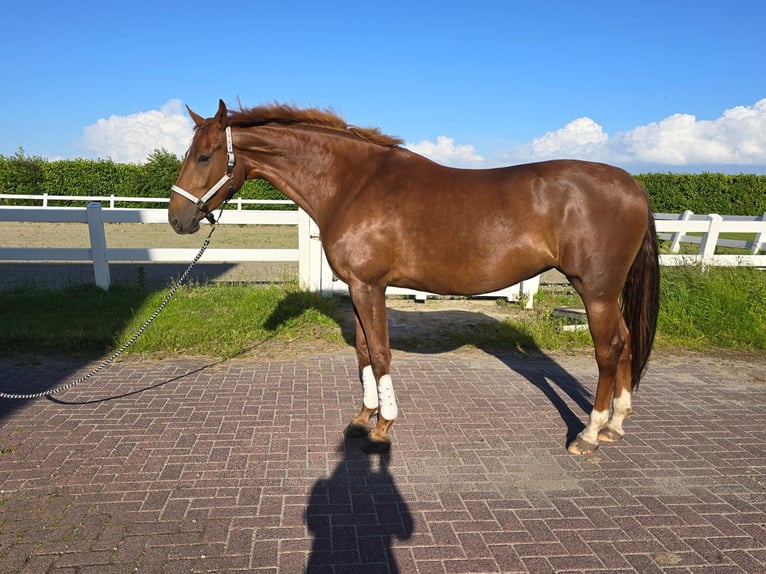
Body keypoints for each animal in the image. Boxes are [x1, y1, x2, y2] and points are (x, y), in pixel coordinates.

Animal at [171, 101, 664, 456]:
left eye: (204, 156)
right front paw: (362, 417)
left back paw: (589, 433)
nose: (178, 219)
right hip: (604, 294)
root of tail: (633, 185)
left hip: (595, 291)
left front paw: (383, 426)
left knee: (608, 350)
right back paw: (616, 424)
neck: (353, 184)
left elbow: (381, 354)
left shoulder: (369, 286)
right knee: (624, 343)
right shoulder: (356, 288)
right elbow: (364, 353)